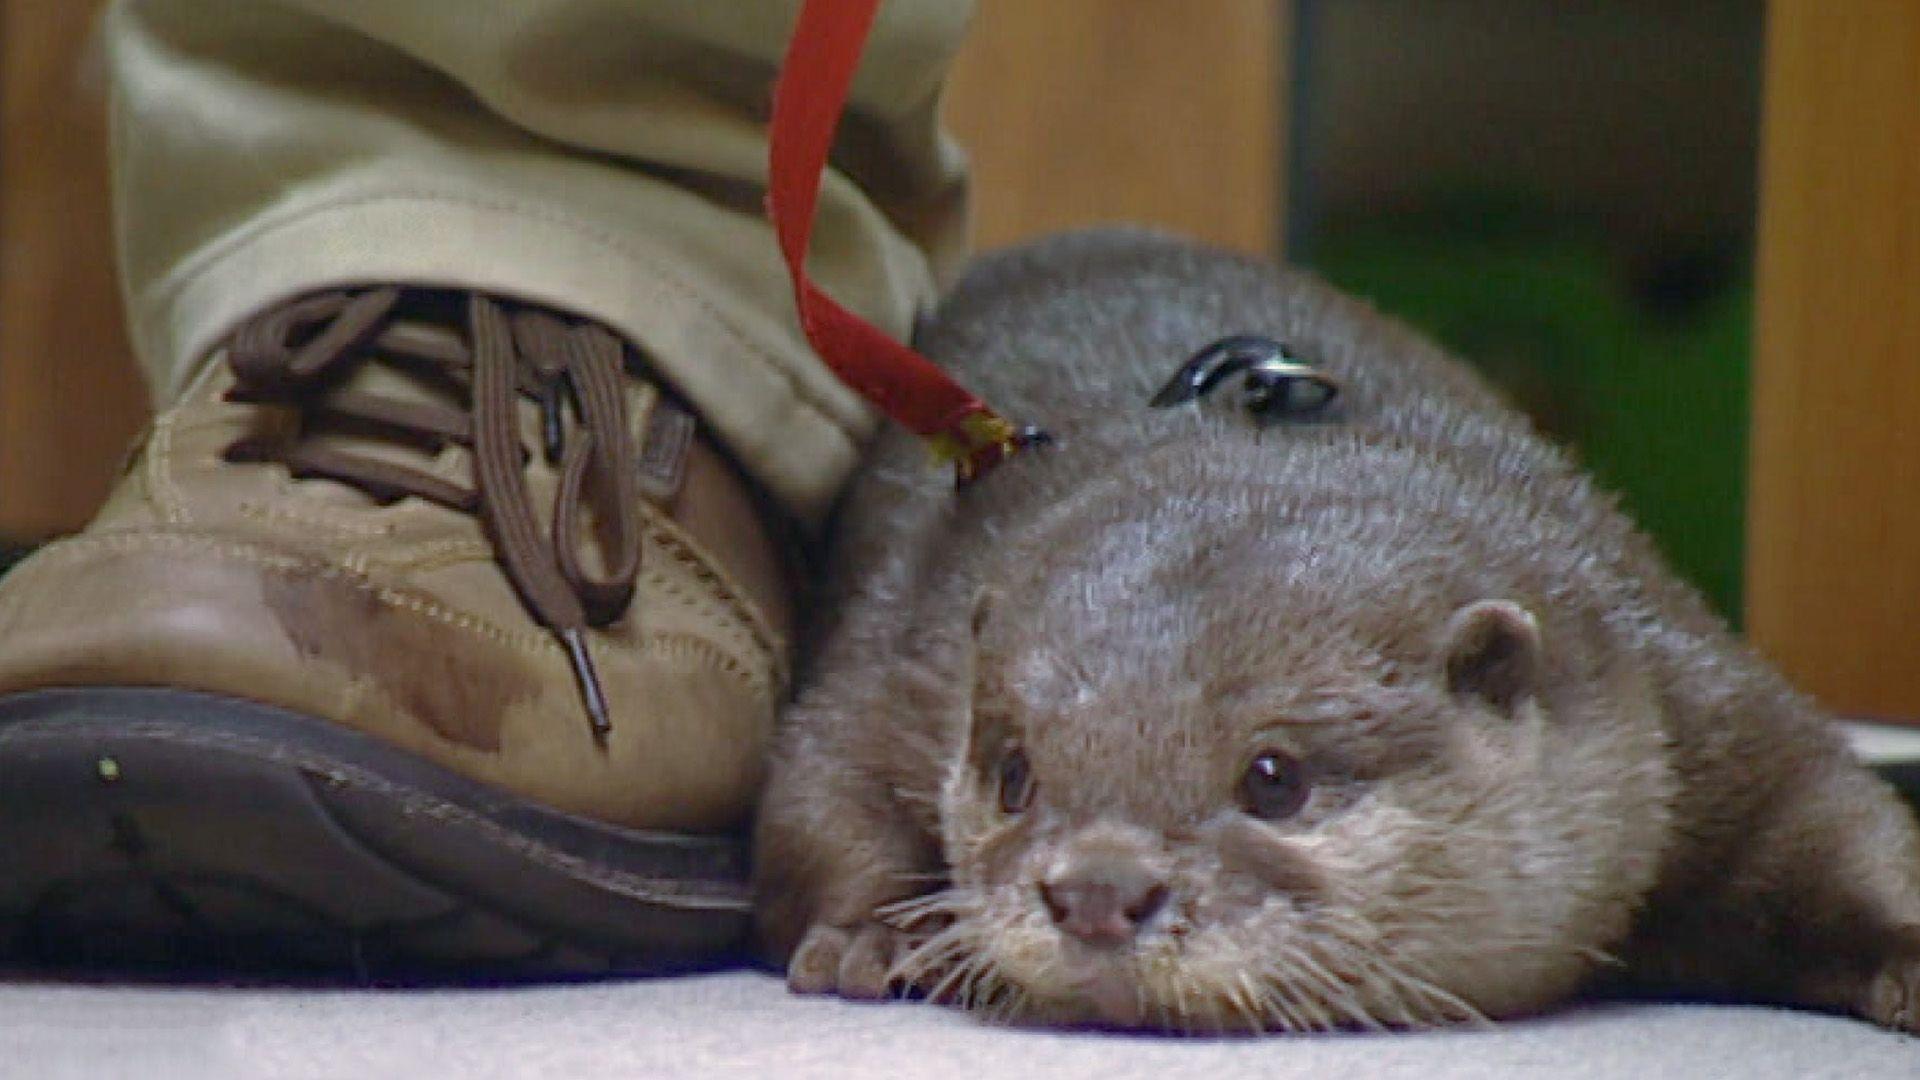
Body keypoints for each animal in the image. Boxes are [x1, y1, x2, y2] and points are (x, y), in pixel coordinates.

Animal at [751, 230, 1920, 1033]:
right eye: (1012, 776)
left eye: (1275, 778)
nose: (1098, 890)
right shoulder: (922, 652)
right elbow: (818, 772)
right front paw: (870, 935)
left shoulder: (1688, 687)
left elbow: (1835, 808)